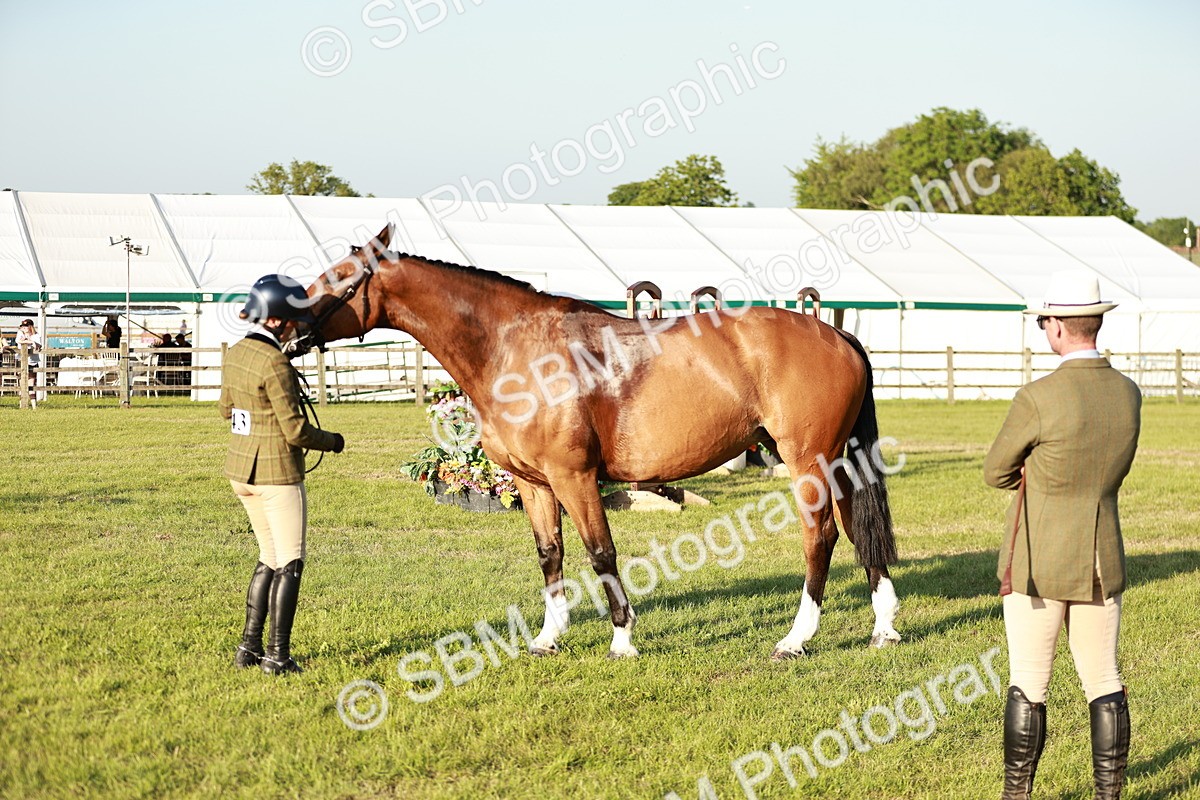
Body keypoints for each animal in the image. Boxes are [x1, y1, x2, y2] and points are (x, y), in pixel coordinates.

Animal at [286, 224, 901, 660]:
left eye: (340, 277)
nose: (279, 325)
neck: (514, 347)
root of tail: (837, 334)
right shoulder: (533, 483)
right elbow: (551, 554)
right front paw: (546, 638)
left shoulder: (574, 477)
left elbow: (599, 551)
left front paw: (623, 640)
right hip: (834, 461)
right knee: (857, 531)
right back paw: (884, 628)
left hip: (806, 462)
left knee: (821, 537)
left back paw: (796, 639)